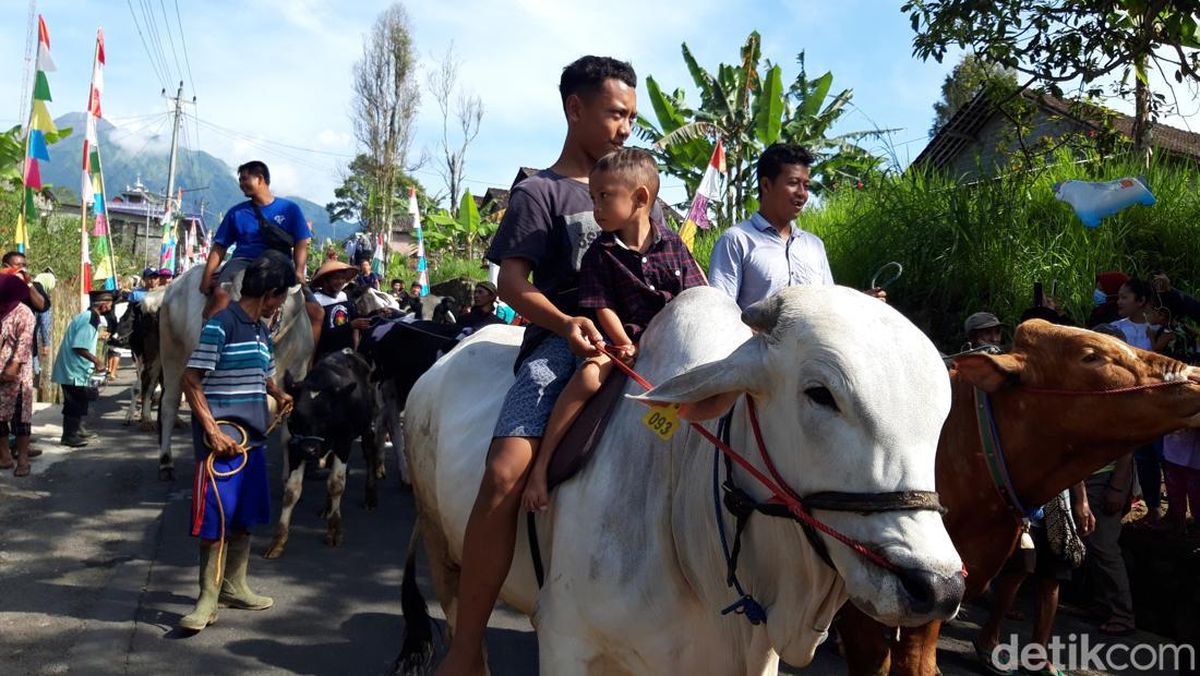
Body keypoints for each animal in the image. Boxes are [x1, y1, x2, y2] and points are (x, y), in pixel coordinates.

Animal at [156, 264, 314, 480]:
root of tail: (174, 285)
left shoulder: (298, 373)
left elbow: (288, 434)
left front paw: (289, 475)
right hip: (172, 354)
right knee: (169, 405)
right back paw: (166, 461)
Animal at [265, 348, 381, 561]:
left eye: (327, 416)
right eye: (297, 416)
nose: (310, 450)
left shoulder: (343, 443)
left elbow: (336, 484)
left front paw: (334, 531)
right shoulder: (296, 445)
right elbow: (291, 491)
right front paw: (278, 541)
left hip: (368, 424)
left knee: (370, 453)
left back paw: (370, 497)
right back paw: (327, 507)